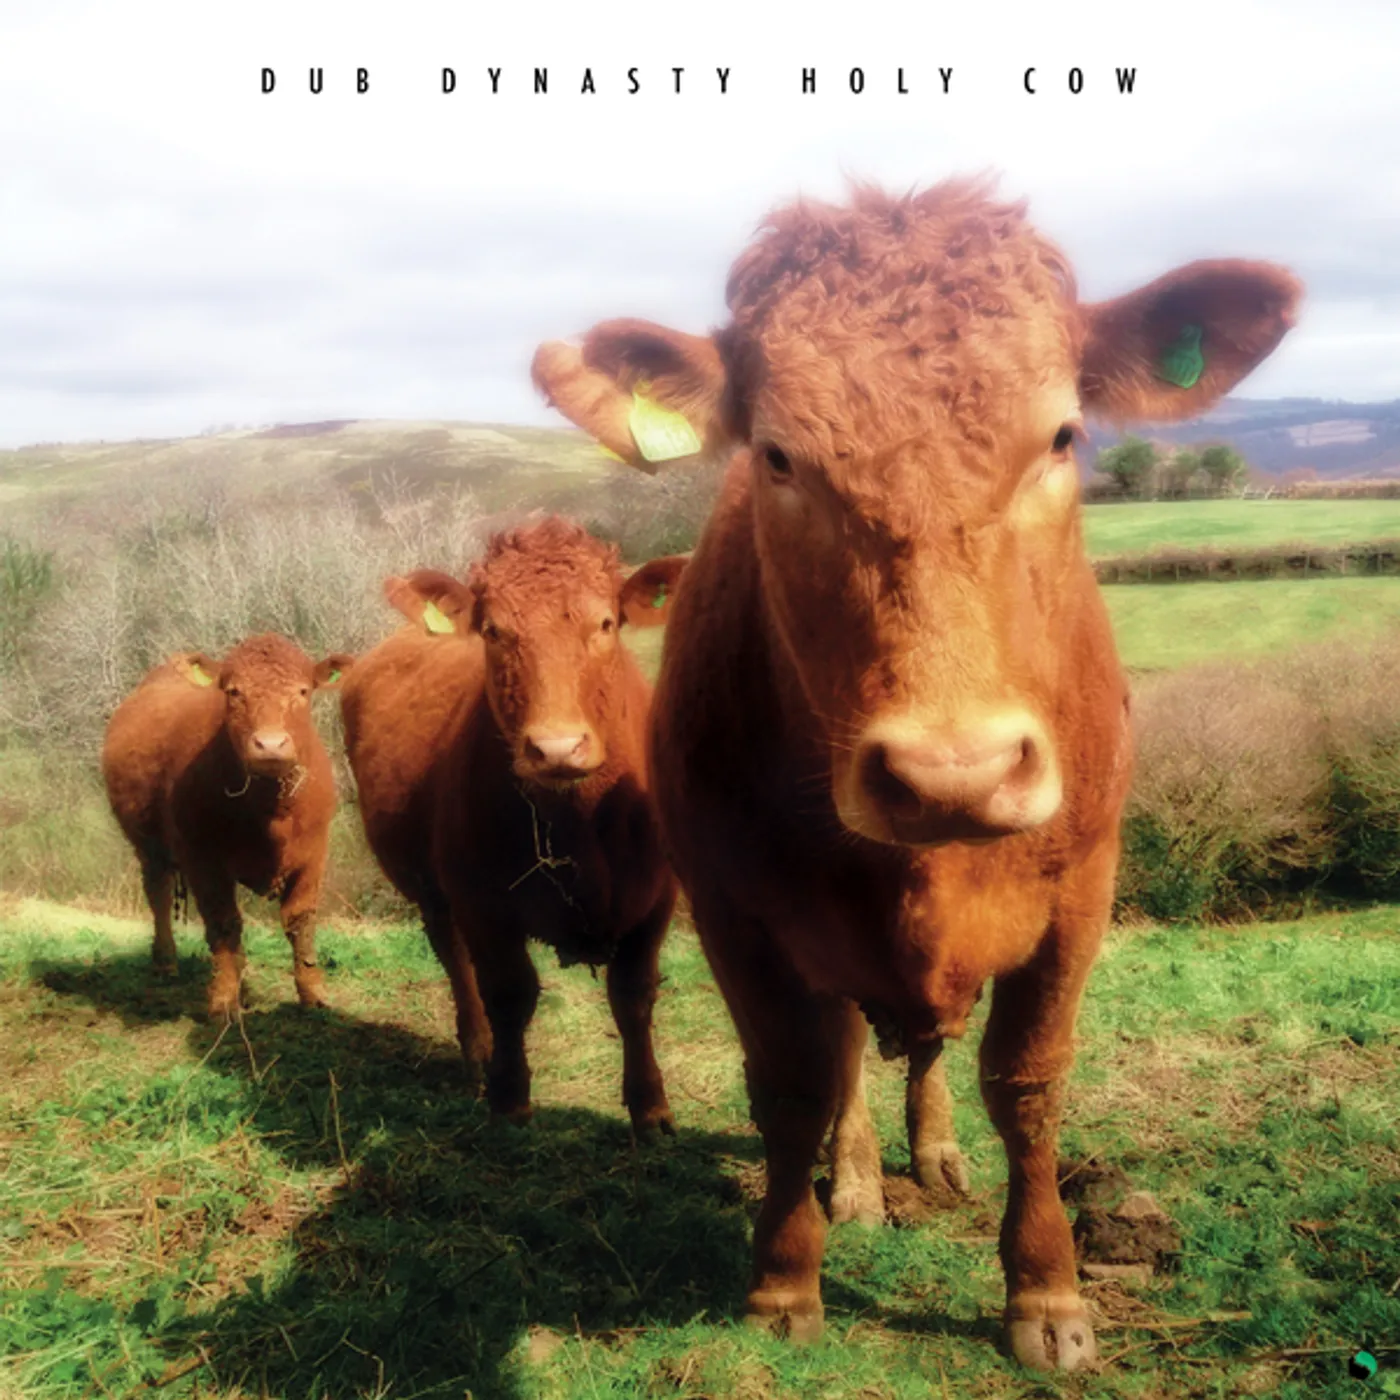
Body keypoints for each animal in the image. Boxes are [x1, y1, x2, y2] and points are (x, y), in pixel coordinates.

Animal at [102, 634, 354, 1019]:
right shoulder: (202, 858)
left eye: (303, 690)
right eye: (234, 691)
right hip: (147, 845)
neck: (270, 812)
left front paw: (313, 995)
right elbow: (223, 923)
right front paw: (223, 1000)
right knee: (158, 893)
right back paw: (165, 963)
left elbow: (300, 922)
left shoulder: (313, 854)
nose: (270, 745)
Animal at [339, 518, 686, 1135]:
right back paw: (477, 1050)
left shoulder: (655, 898)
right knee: (453, 956)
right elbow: (508, 992)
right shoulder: (482, 901)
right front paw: (508, 1096)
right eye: (493, 630)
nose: (557, 747)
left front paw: (650, 1108)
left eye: (605, 623)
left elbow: (634, 995)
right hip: (431, 887)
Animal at [530, 177, 1300, 1369]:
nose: (954, 773)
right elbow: (793, 1084)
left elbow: (1025, 1082)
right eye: (777, 456)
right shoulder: (733, 909)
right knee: (848, 1054)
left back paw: (930, 1152)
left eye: (1063, 435)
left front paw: (1047, 1291)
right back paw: (852, 1183)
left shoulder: (1082, 891)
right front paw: (784, 1276)